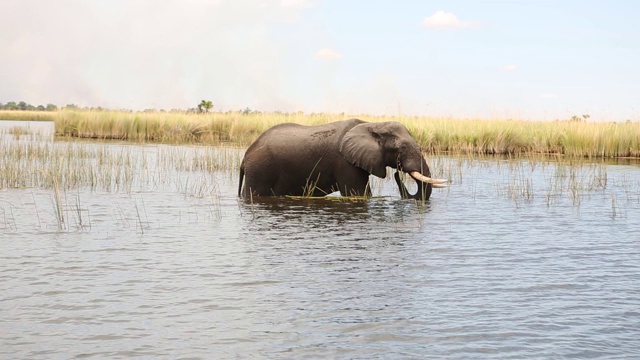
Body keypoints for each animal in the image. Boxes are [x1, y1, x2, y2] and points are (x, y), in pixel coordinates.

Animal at [238, 118, 448, 200]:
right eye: (400, 149)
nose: (397, 172)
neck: (372, 125)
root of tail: (246, 156)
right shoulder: (345, 163)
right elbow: (359, 194)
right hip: (260, 169)